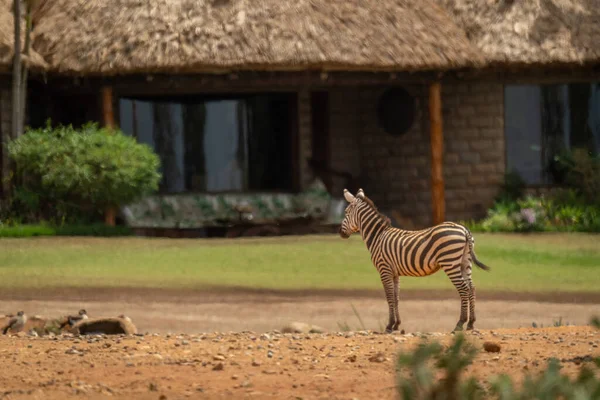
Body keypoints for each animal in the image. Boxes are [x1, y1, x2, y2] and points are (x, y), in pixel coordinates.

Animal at [340, 189, 490, 332]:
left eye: (346, 212)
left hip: (450, 263)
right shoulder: (395, 273)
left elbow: (389, 297)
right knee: (471, 288)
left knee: (464, 289)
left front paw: (389, 325)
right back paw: (471, 323)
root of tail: (464, 229)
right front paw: (396, 325)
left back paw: (460, 324)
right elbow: (396, 297)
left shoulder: (384, 270)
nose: (341, 233)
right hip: (465, 262)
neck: (378, 236)